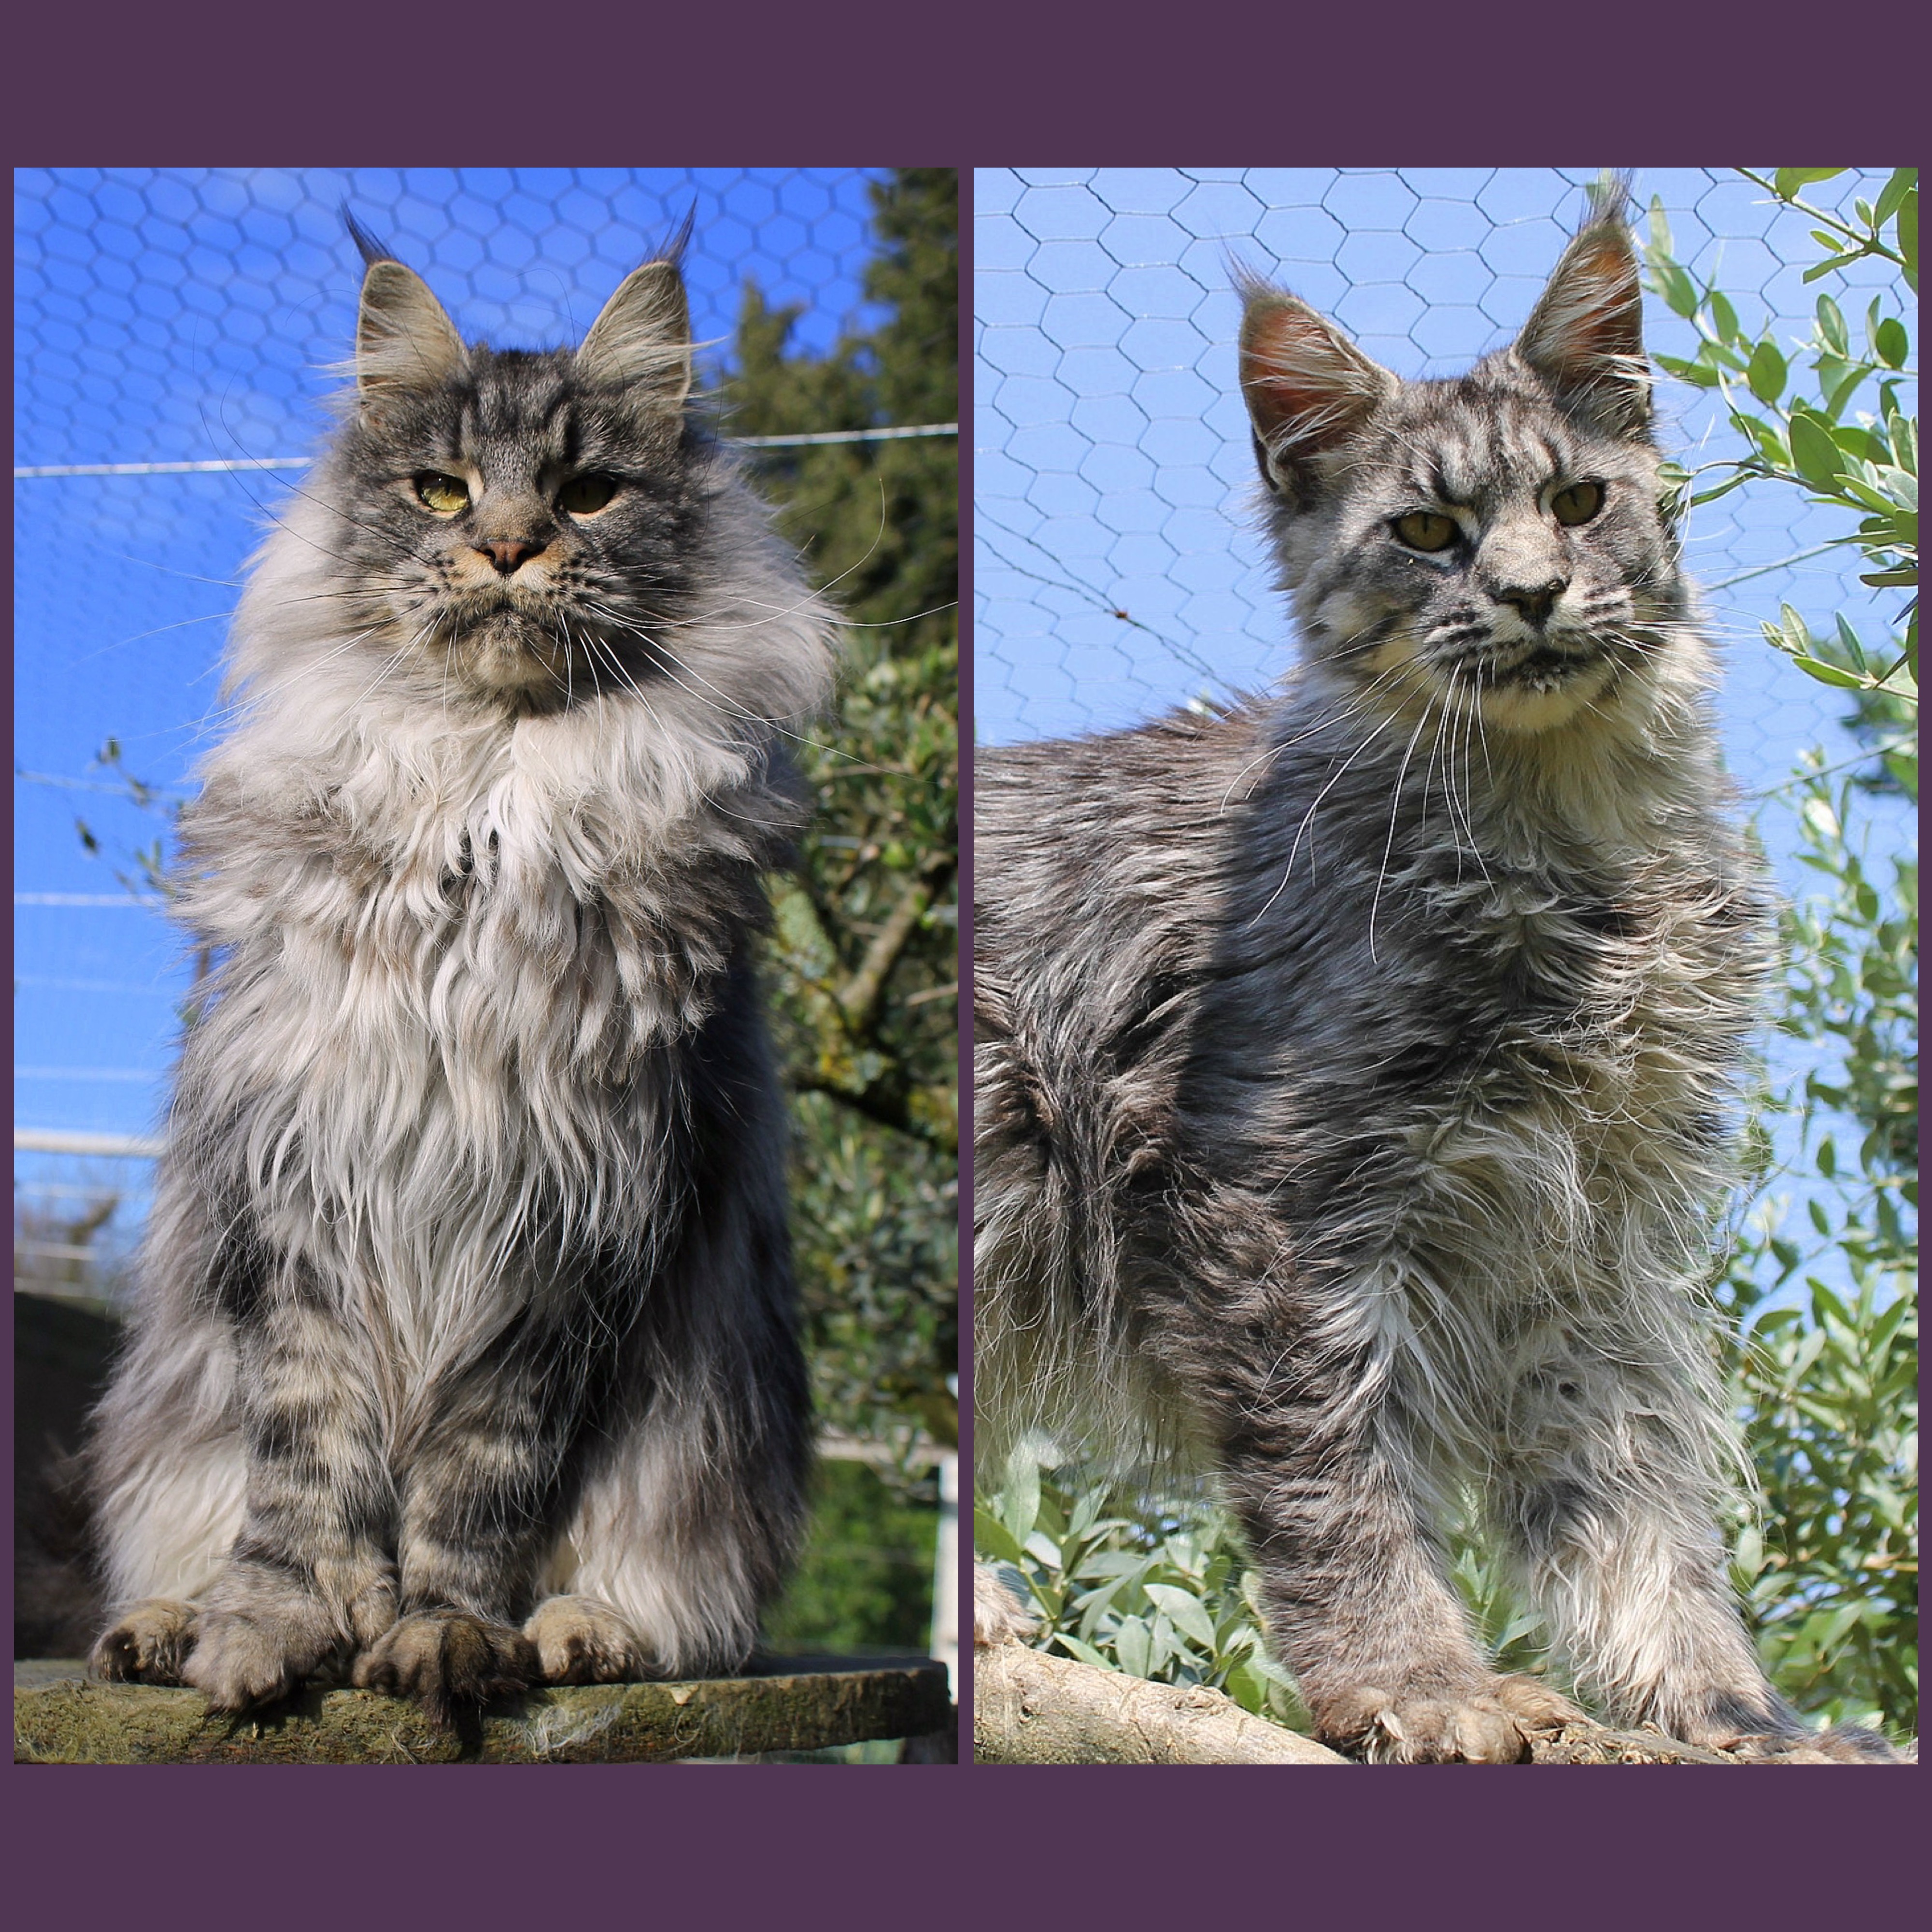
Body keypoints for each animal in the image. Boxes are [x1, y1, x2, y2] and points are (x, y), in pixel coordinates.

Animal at [89, 226, 831, 1723]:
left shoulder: (577, 1218)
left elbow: (479, 1484)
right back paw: (161, 1626)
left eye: (588, 492)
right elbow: (304, 1478)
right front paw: (273, 1632)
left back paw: (577, 1632)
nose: (505, 545)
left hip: (700, 1456)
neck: (485, 808)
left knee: (656, 1595)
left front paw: (443, 1635)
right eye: (441, 488)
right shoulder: (301, 1197)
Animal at [981, 192, 1901, 1770]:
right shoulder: (1272, 1200)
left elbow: (1639, 1516)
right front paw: (1416, 1685)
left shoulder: (1589, 1243)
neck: (1573, 840)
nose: (1528, 593)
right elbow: (1338, 1488)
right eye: (1425, 532)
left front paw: (1734, 1716)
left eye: (1579, 504)